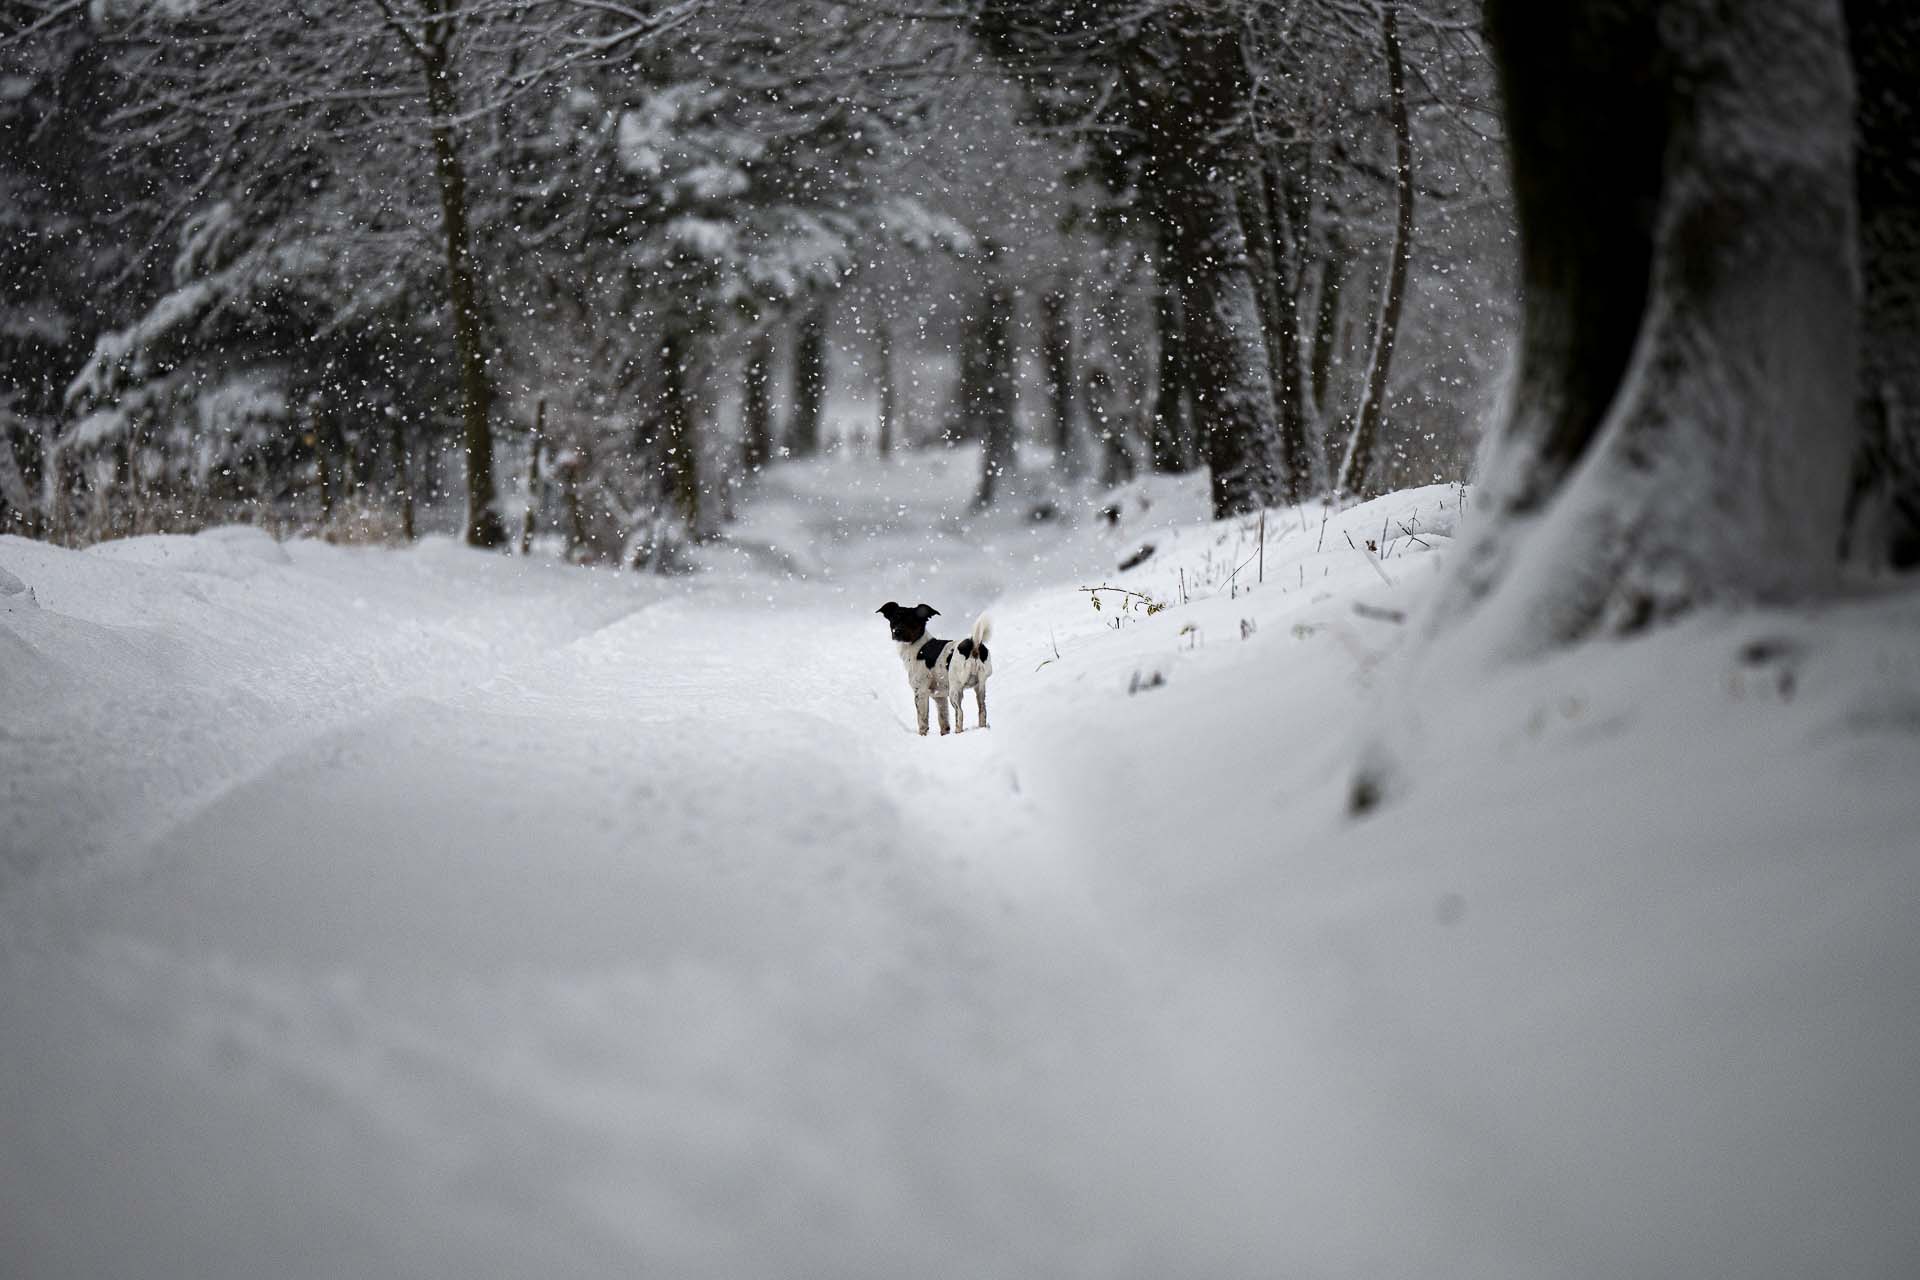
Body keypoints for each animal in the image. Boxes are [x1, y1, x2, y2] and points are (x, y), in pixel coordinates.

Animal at [879, 602, 998, 736]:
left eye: (911, 620)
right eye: (894, 619)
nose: (897, 631)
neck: (918, 647)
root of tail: (974, 645)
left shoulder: (920, 692)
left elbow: (922, 720)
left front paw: (922, 736)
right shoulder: (939, 697)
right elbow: (943, 720)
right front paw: (944, 734)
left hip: (955, 690)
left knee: (960, 713)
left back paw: (958, 732)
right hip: (980, 687)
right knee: (982, 710)